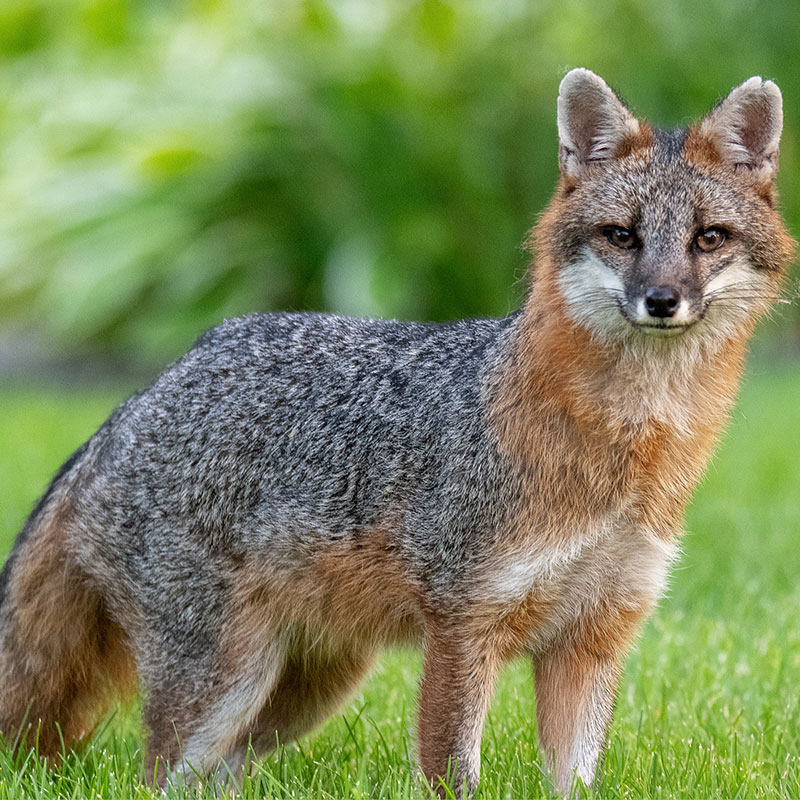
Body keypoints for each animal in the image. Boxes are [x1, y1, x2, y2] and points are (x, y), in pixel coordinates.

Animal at [0, 69, 795, 795]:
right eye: (622, 236)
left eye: (708, 238)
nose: (661, 300)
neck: (625, 452)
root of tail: (137, 397)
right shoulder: (463, 624)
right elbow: (454, 772)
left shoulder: (594, 639)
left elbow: (573, 779)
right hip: (222, 683)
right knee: (160, 775)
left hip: (306, 689)